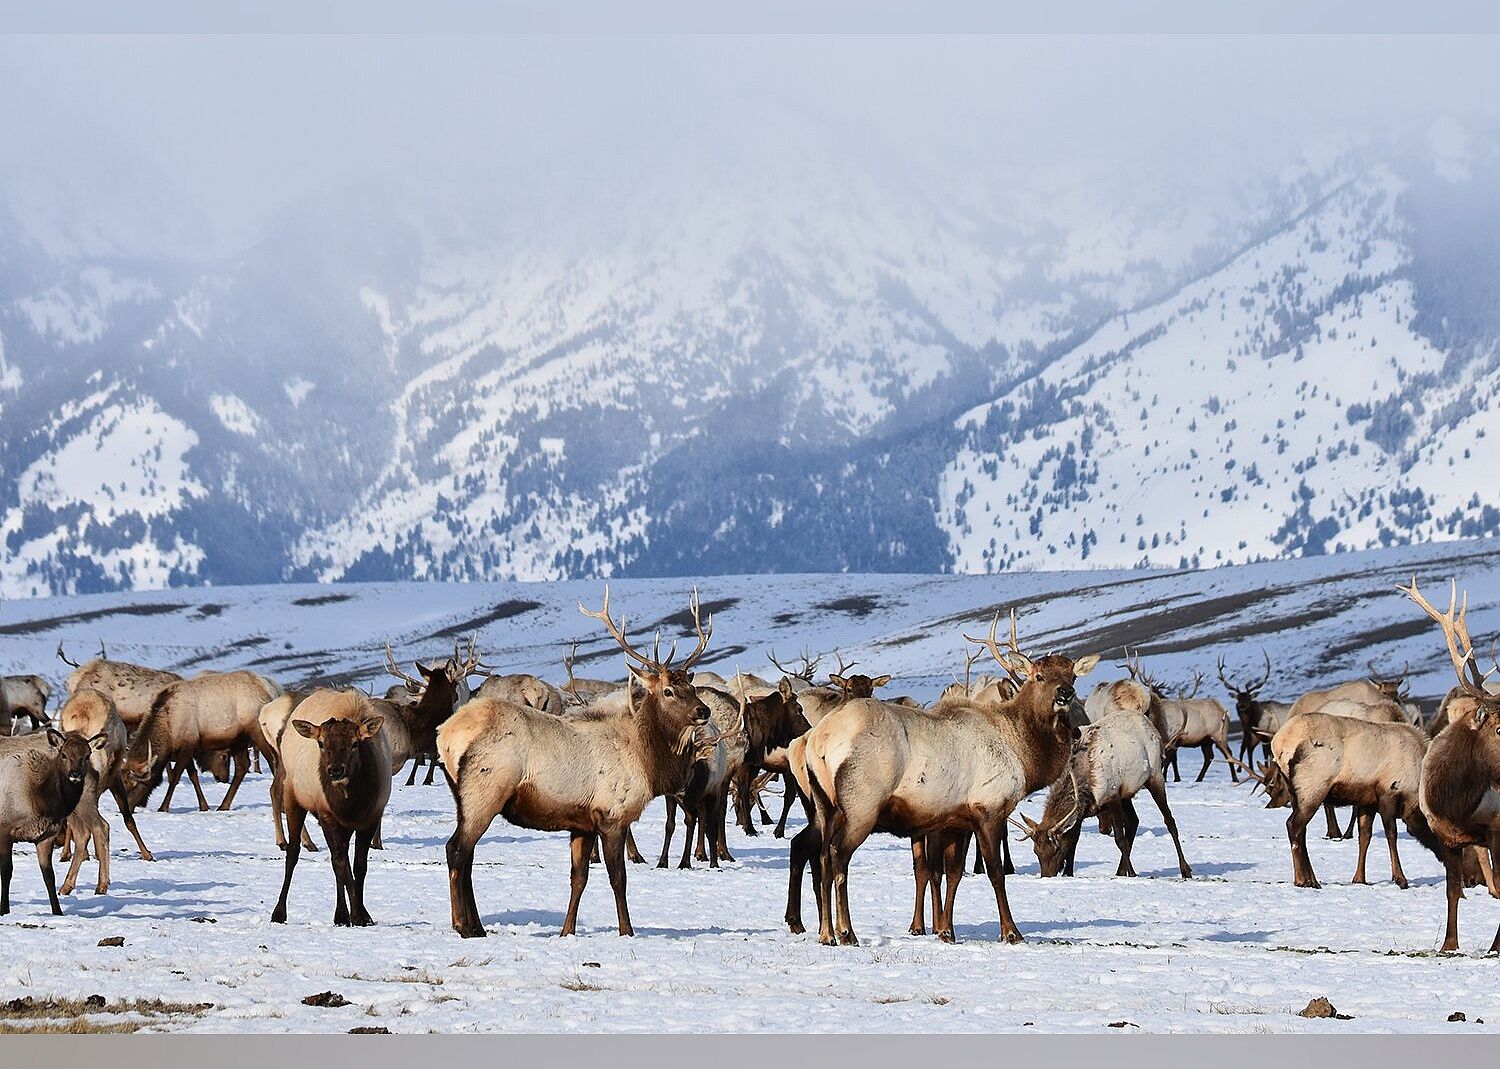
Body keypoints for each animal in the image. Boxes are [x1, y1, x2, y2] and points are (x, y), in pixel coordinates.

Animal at [268, 689, 391, 926]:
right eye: (321, 743)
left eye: (355, 743)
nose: (335, 770)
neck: (351, 803)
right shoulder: (327, 814)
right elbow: (341, 863)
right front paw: (358, 914)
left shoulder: (371, 816)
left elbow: (358, 866)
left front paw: (360, 913)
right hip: (294, 797)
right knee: (294, 853)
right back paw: (279, 912)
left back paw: (340, 914)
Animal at [439, 587, 715, 938]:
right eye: (668, 690)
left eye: (691, 686)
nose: (704, 710)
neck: (647, 761)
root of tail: (445, 734)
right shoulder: (612, 814)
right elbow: (618, 878)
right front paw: (627, 931)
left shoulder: (582, 823)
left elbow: (578, 879)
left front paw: (566, 931)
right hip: (485, 788)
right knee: (457, 850)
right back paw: (465, 926)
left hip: (464, 796)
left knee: (466, 853)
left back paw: (474, 924)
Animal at [791, 608, 1098, 946]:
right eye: (1039, 676)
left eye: (1072, 675)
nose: (1065, 694)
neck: (1023, 752)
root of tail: (819, 740)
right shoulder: (989, 808)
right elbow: (995, 872)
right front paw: (1011, 932)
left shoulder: (956, 820)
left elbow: (952, 873)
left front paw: (946, 930)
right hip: (861, 804)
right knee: (838, 855)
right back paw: (846, 931)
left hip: (824, 804)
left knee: (821, 856)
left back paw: (825, 933)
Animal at [1401, 577, 1500, 952]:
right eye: (1499, 728)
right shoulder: (1448, 839)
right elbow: (1452, 891)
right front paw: (1449, 944)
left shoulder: (1496, 830)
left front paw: (1495, 947)